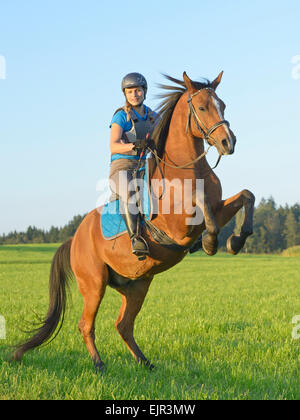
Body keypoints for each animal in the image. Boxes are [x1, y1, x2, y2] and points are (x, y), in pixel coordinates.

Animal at [12, 71, 255, 370]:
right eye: (201, 107)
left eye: (223, 105)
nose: (228, 143)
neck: (187, 168)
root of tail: (74, 239)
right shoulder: (179, 224)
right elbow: (200, 202)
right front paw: (210, 242)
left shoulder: (219, 208)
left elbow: (246, 195)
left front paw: (236, 241)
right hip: (94, 284)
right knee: (86, 325)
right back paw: (99, 365)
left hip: (137, 285)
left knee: (123, 325)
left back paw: (145, 363)